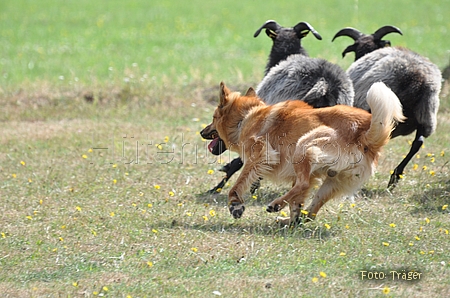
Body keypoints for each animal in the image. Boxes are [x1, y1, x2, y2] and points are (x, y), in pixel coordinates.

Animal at [200, 81, 404, 224]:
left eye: (214, 118)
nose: (201, 132)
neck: (245, 118)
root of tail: (364, 133)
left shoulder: (260, 155)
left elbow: (239, 182)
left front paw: (235, 204)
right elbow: (297, 202)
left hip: (304, 145)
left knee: (303, 184)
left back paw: (276, 205)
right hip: (333, 181)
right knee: (309, 211)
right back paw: (289, 220)